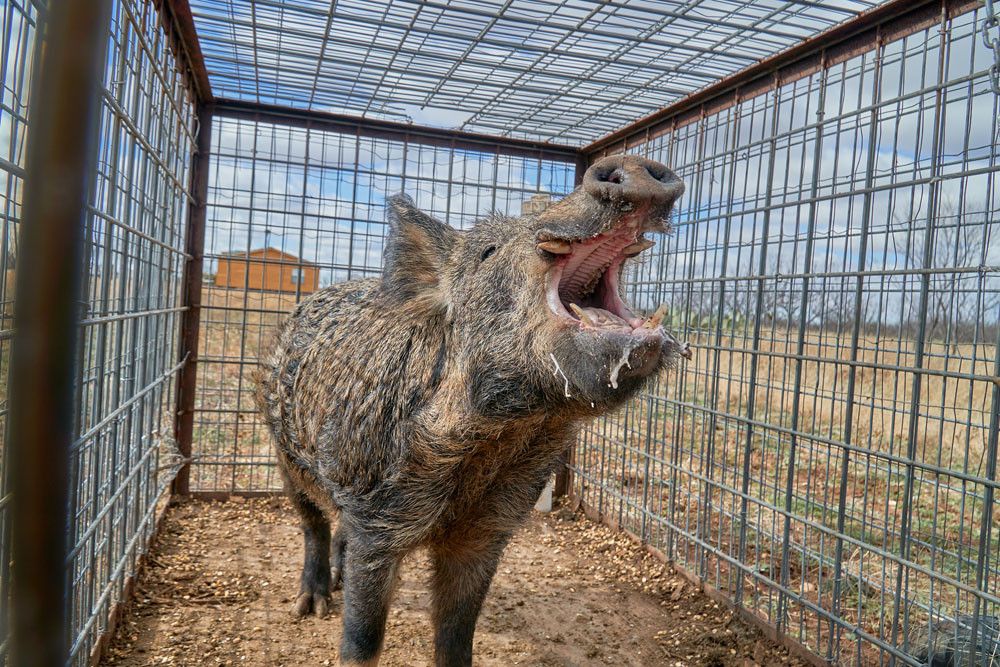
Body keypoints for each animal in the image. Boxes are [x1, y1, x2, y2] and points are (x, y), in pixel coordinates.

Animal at [254, 154, 688, 664]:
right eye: (488, 252)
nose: (630, 165)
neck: (496, 442)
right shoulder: (377, 519)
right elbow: (362, 637)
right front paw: (340, 627)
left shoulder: (489, 528)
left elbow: (457, 635)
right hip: (282, 449)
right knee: (313, 523)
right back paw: (312, 605)